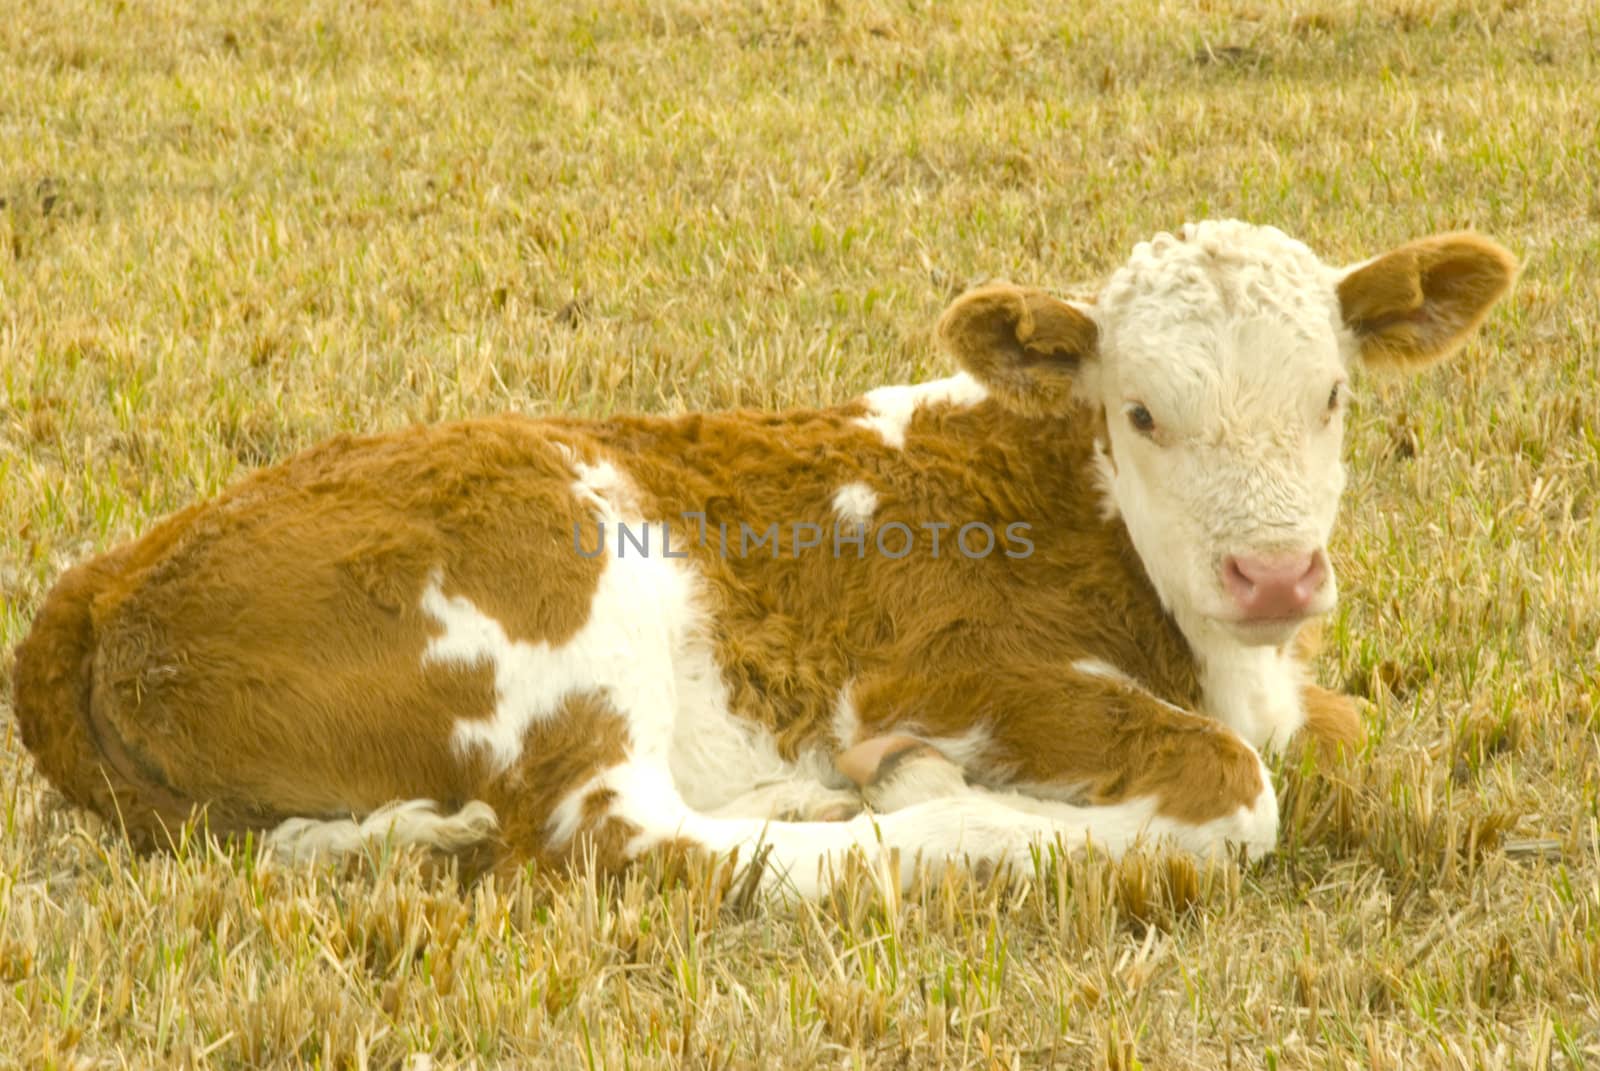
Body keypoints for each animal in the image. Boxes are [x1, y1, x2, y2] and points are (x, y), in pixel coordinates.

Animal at [9, 224, 1510, 896]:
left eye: (1332, 395)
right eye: (1141, 410)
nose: (1276, 576)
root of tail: (118, 571)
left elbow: (1334, 731)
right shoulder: (948, 668)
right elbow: (1235, 791)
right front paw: (933, 783)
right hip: (562, 580)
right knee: (618, 832)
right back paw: (888, 812)